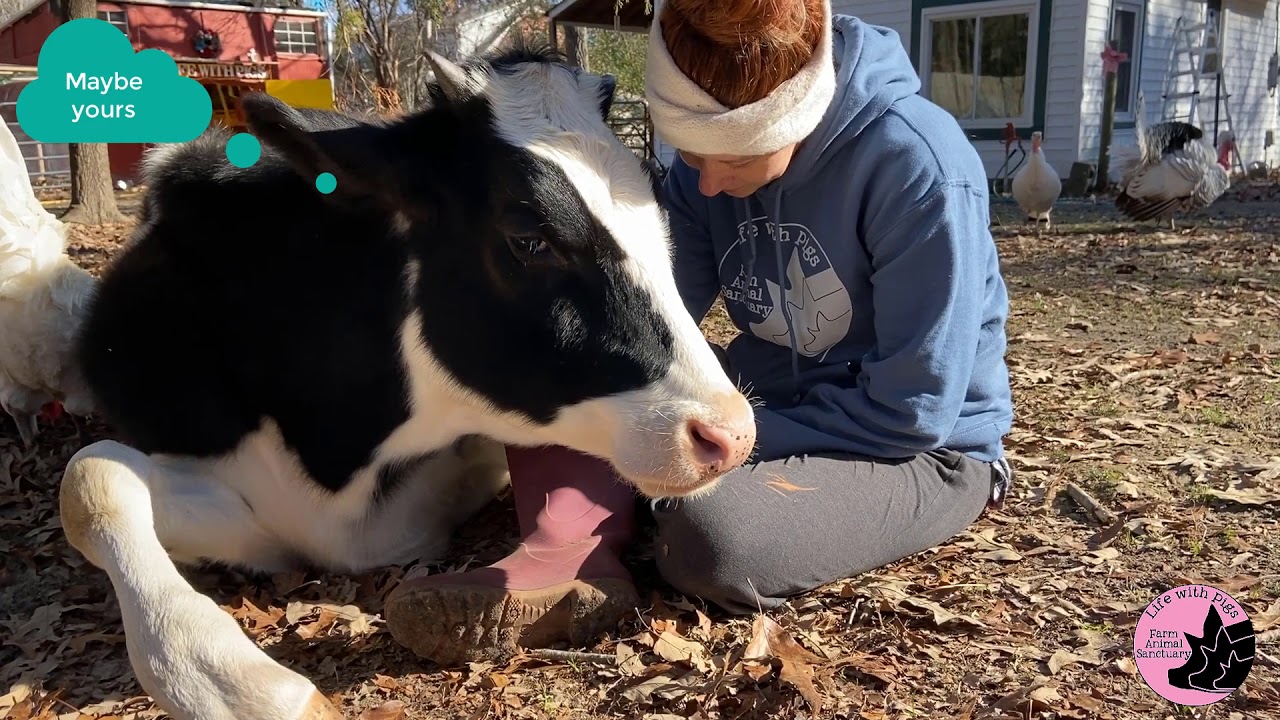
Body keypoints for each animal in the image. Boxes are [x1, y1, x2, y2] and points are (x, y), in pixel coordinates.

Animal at [57, 46, 756, 720]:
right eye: (529, 239)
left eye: (660, 225)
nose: (728, 432)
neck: (337, 455)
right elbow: (92, 481)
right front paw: (236, 686)